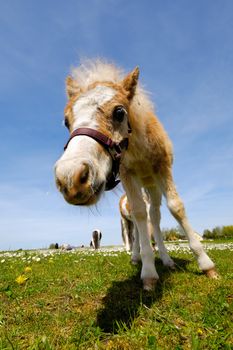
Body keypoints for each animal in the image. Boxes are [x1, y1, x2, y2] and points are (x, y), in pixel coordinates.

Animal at [55, 59, 218, 290]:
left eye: (119, 112)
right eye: (66, 121)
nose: (71, 179)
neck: (138, 148)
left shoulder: (162, 167)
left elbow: (176, 207)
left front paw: (206, 265)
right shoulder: (127, 174)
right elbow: (139, 213)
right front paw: (148, 273)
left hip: (152, 185)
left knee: (155, 218)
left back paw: (166, 260)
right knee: (139, 221)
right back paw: (137, 256)